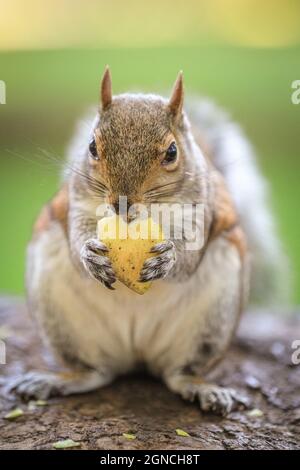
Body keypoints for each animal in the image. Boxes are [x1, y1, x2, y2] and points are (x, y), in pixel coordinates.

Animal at [9, 67, 288, 414]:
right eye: (91, 147)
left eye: (172, 152)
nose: (121, 204)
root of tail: (136, 354)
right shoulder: (77, 204)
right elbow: (77, 237)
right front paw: (89, 255)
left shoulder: (200, 212)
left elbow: (188, 257)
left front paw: (166, 259)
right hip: (63, 319)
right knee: (95, 372)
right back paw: (56, 380)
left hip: (211, 322)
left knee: (178, 373)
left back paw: (203, 388)